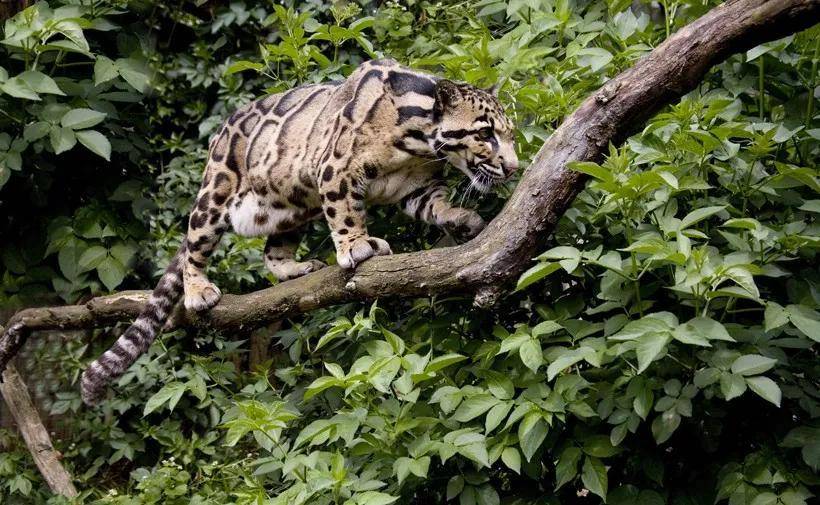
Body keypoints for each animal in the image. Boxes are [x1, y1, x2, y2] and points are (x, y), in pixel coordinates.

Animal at [81, 58, 518, 404]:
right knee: (192, 246)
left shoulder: (417, 187)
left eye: (509, 133)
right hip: (216, 191)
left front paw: (460, 217)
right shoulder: (336, 168)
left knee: (270, 251)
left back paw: (294, 269)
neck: (418, 142)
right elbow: (345, 212)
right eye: (485, 133)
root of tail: (222, 131)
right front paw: (357, 245)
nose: (514, 166)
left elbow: (437, 205)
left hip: (292, 208)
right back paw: (197, 288)